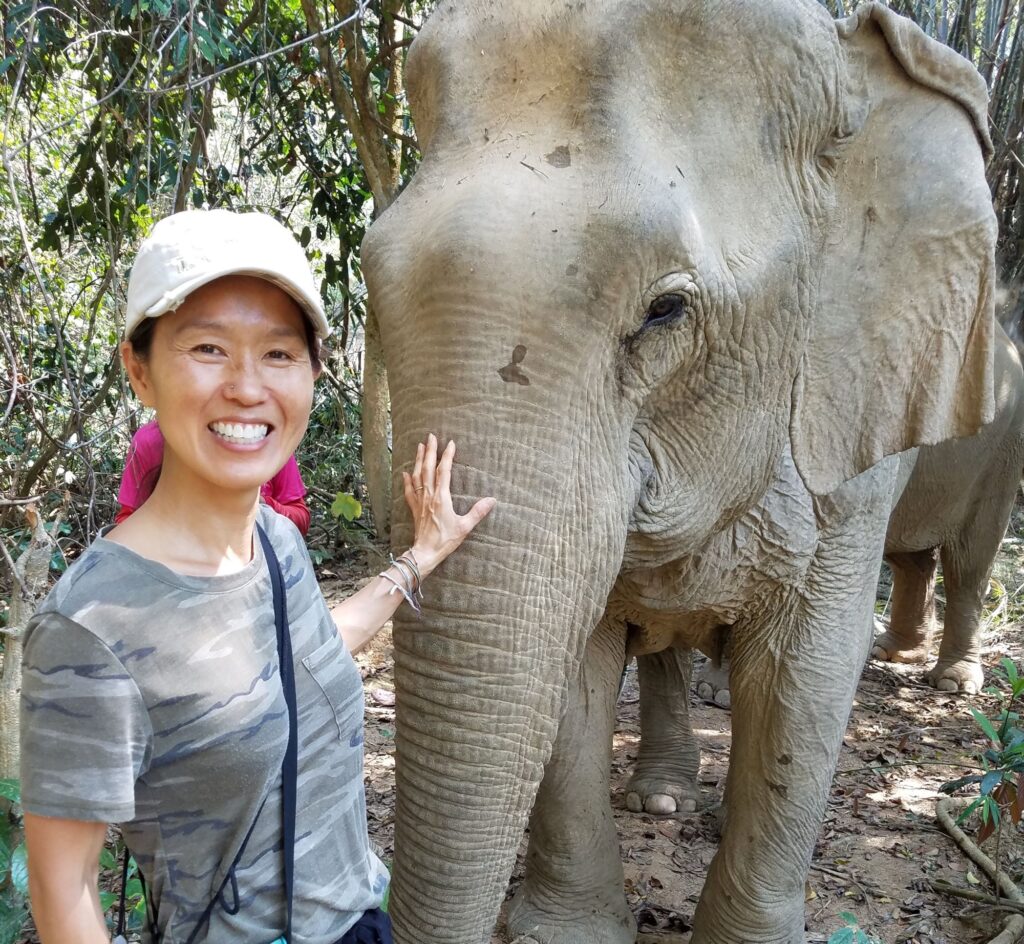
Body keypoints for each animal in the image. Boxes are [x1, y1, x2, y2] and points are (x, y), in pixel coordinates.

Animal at [622, 321, 1024, 810]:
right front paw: (660, 798)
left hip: (1000, 453)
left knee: (970, 561)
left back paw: (953, 681)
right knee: (912, 556)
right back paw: (894, 652)